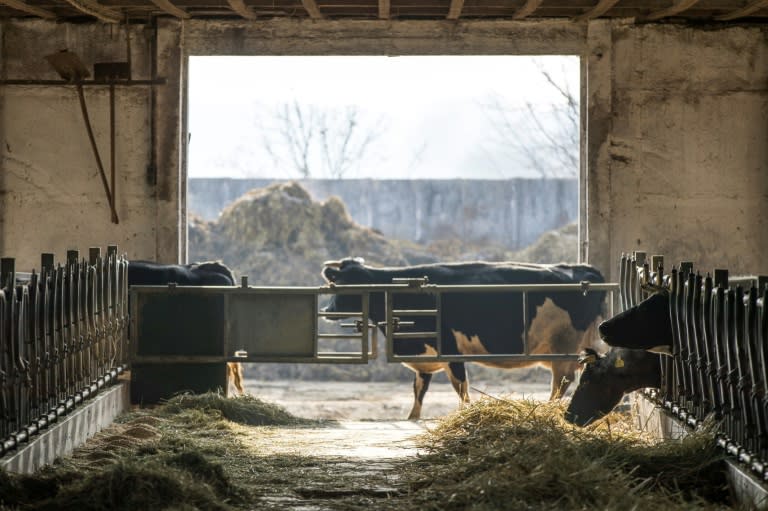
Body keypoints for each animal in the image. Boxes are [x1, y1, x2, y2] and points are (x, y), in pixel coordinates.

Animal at [320, 258, 608, 422]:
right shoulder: (425, 356)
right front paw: (412, 417)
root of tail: (585, 269)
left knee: (561, 382)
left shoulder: (449, 349)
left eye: (344, 285)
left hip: (564, 345)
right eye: (336, 282)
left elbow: (461, 387)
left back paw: (546, 408)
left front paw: (466, 413)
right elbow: (419, 390)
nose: (327, 310)